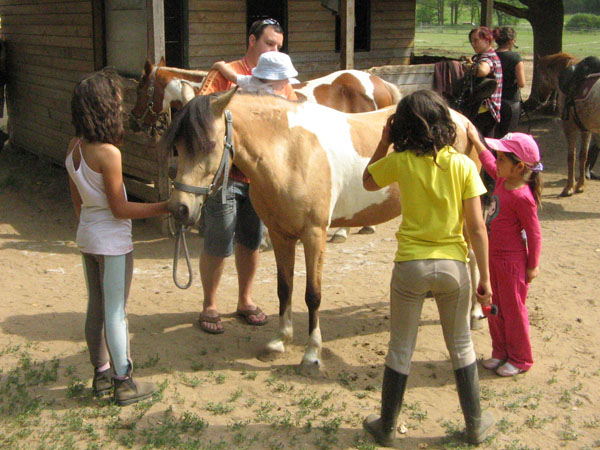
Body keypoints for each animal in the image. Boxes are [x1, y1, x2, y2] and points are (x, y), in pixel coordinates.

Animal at [162, 89, 480, 372]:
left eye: (209, 144)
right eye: (177, 147)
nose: (180, 209)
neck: (290, 152)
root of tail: (461, 121)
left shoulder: (314, 235)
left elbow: (312, 295)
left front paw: (312, 355)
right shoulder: (280, 234)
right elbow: (284, 288)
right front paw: (279, 341)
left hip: (464, 216)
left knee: (474, 257)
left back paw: (475, 312)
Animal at [536, 51, 600, 196]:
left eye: (538, 75)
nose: (540, 98)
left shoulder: (569, 127)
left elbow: (571, 157)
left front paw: (569, 187)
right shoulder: (586, 129)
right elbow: (583, 156)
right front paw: (580, 185)